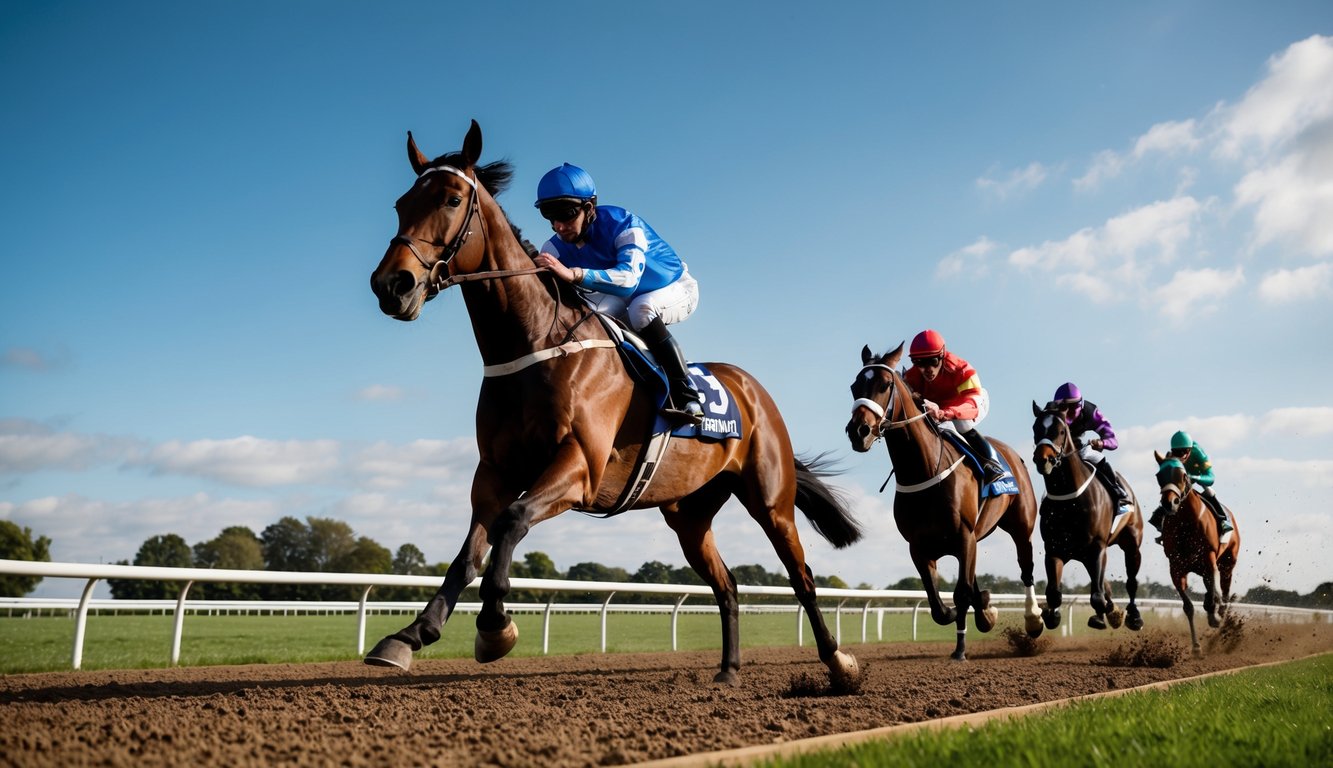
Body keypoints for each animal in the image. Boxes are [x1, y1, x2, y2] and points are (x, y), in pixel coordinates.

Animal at [367, 122, 863, 688]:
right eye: (401, 203)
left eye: (451, 199)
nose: (391, 285)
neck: (534, 346)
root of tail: (753, 390)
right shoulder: (494, 470)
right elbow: (467, 556)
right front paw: (409, 635)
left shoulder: (580, 465)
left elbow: (512, 522)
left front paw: (495, 627)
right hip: (690, 514)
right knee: (727, 586)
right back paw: (728, 671)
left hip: (770, 500)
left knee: (802, 578)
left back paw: (839, 664)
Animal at [847, 344, 1045, 661]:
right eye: (854, 386)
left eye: (885, 384)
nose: (858, 431)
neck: (926, 469)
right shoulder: (919, 546)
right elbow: (939, 605)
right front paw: (978, 611)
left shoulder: (964, 536)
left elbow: (960, 593)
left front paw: (960, 649)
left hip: (1020, 526)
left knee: (1026, 568)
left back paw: (1034, 619)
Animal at [1029, 402, 1146, 629]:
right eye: (1035, 429)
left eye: (1061, 431)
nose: (1043, 459)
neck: (1070, 500)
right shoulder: (1054, 549)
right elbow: (1054, 592)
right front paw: (1051, 616)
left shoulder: (1097, 547)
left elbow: (1097, 595)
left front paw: (1105, 615)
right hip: (1083, 555)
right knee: (1102, 583)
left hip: (1131, 544)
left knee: (1130, 582)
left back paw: (1134, 616)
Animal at [1146, 450, 1237, 653]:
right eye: (1158, 476)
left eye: (1183, 475)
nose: (1169, 503)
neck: (1186, 523)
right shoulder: (1176, 566)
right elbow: (1188, 607)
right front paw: (1196, 647)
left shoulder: (1209, 557)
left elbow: (1214, 593)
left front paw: (1215, 616)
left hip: (1227, 563)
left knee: (1224, 592)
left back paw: (1220, 615)